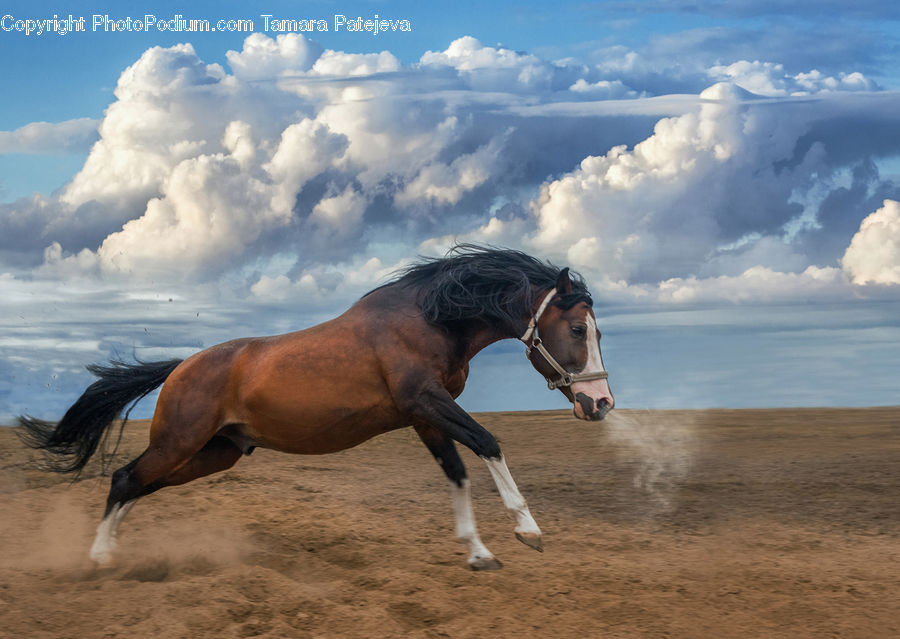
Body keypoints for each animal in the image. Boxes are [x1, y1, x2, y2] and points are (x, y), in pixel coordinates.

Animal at [19, 245, 614, 570]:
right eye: (578, 329)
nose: (600, 403)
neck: (429, 317)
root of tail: (180, 368)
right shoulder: (426, 400)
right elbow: (489, 444)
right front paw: (528, 530)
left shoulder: (423, 415)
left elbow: (458, 473)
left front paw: (478, 554)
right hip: (179, 442)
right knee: (125, 478)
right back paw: (98, 559)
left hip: (215, 453)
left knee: (137, 484)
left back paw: (112, 552)